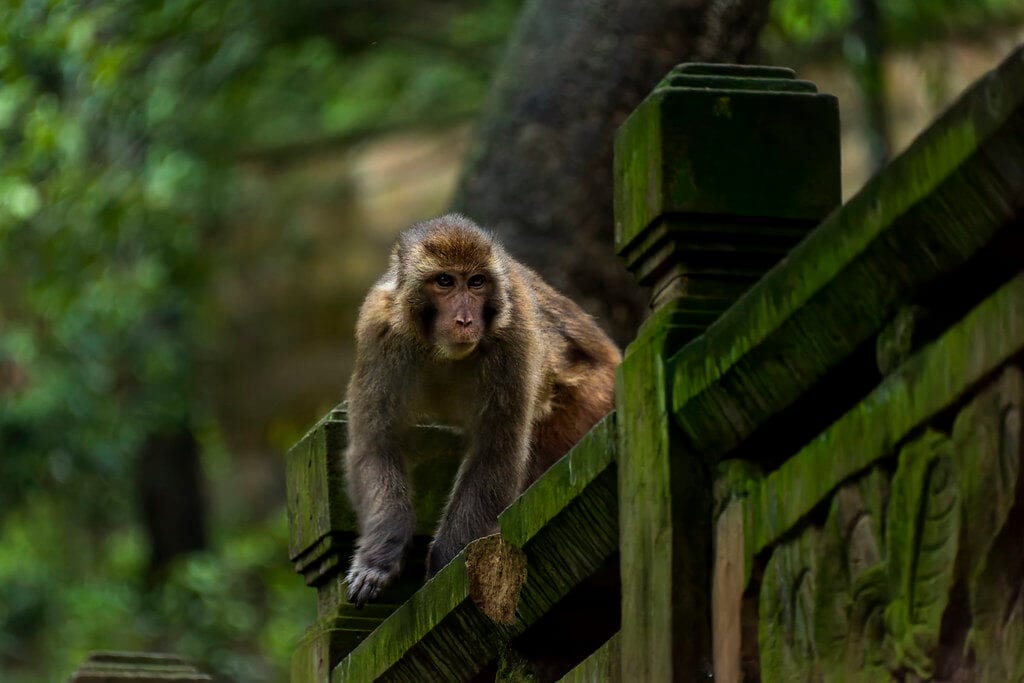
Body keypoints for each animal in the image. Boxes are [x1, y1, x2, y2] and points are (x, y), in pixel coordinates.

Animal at [343, 214, 621, 607]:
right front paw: (379, 559)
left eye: (476, 282)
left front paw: (442, 568)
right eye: (444, 281)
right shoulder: (378, 329)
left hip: (591, 397)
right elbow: (376, 444)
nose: (464, 320)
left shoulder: (515, 333)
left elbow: (497, 448)